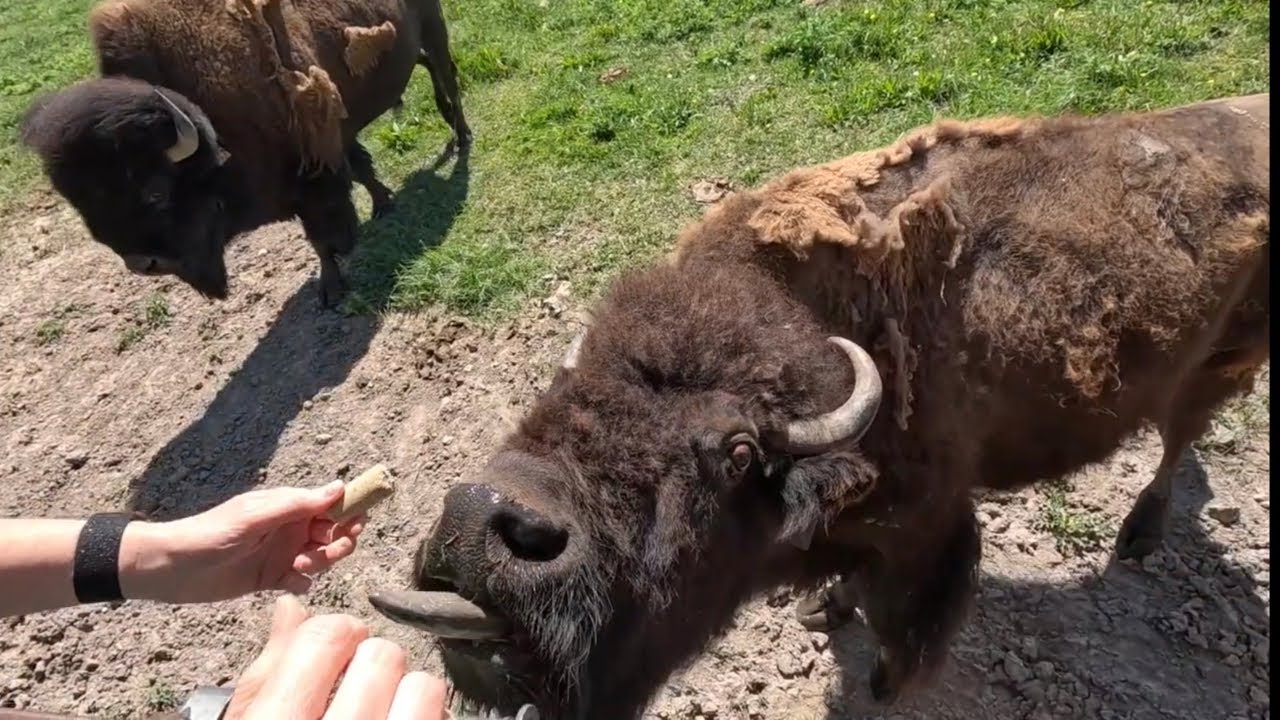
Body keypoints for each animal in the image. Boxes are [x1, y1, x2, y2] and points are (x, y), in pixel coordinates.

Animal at [20, 0, 470, 308]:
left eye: (155, 190)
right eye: (81, 206)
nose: (142, 263)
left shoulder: (312, 177)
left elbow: (322, 234)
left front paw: (331, 288)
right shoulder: (328, 147)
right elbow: (357, 171)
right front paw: (382, 205)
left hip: (434, 27)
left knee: (447, 75)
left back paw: (463, 137)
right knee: (430, 68)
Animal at [369, 95, 1270, 718]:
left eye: (735, 451)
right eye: (566, 386)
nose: (481, 520)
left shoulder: (929, 532)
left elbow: (902, 628)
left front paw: (880, 680)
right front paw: (819, 607)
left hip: (1222, 365)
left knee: (1178, 441)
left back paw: (1140, 538)